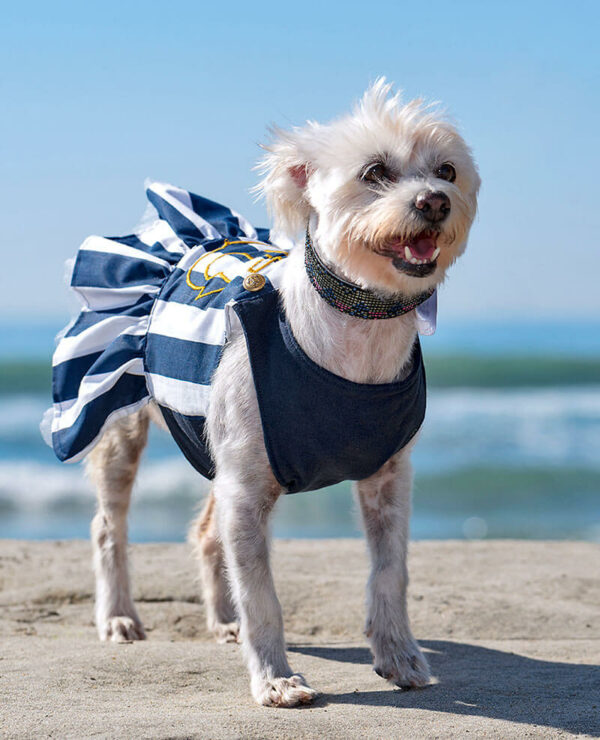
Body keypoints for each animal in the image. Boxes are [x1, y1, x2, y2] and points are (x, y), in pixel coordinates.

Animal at [47, 78, 478, 708]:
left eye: (446, 170)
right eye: (374, 171)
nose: (435, 202)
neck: (353, 333)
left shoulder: (387, 478)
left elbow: (389, 572)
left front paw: (399, 655)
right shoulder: (247, 491)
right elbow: (262, 596)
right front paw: (276, 678)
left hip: (213, 445)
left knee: (206, 534)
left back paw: (223, 620)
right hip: (117, 420)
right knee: (109, 525)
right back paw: (119, 616)